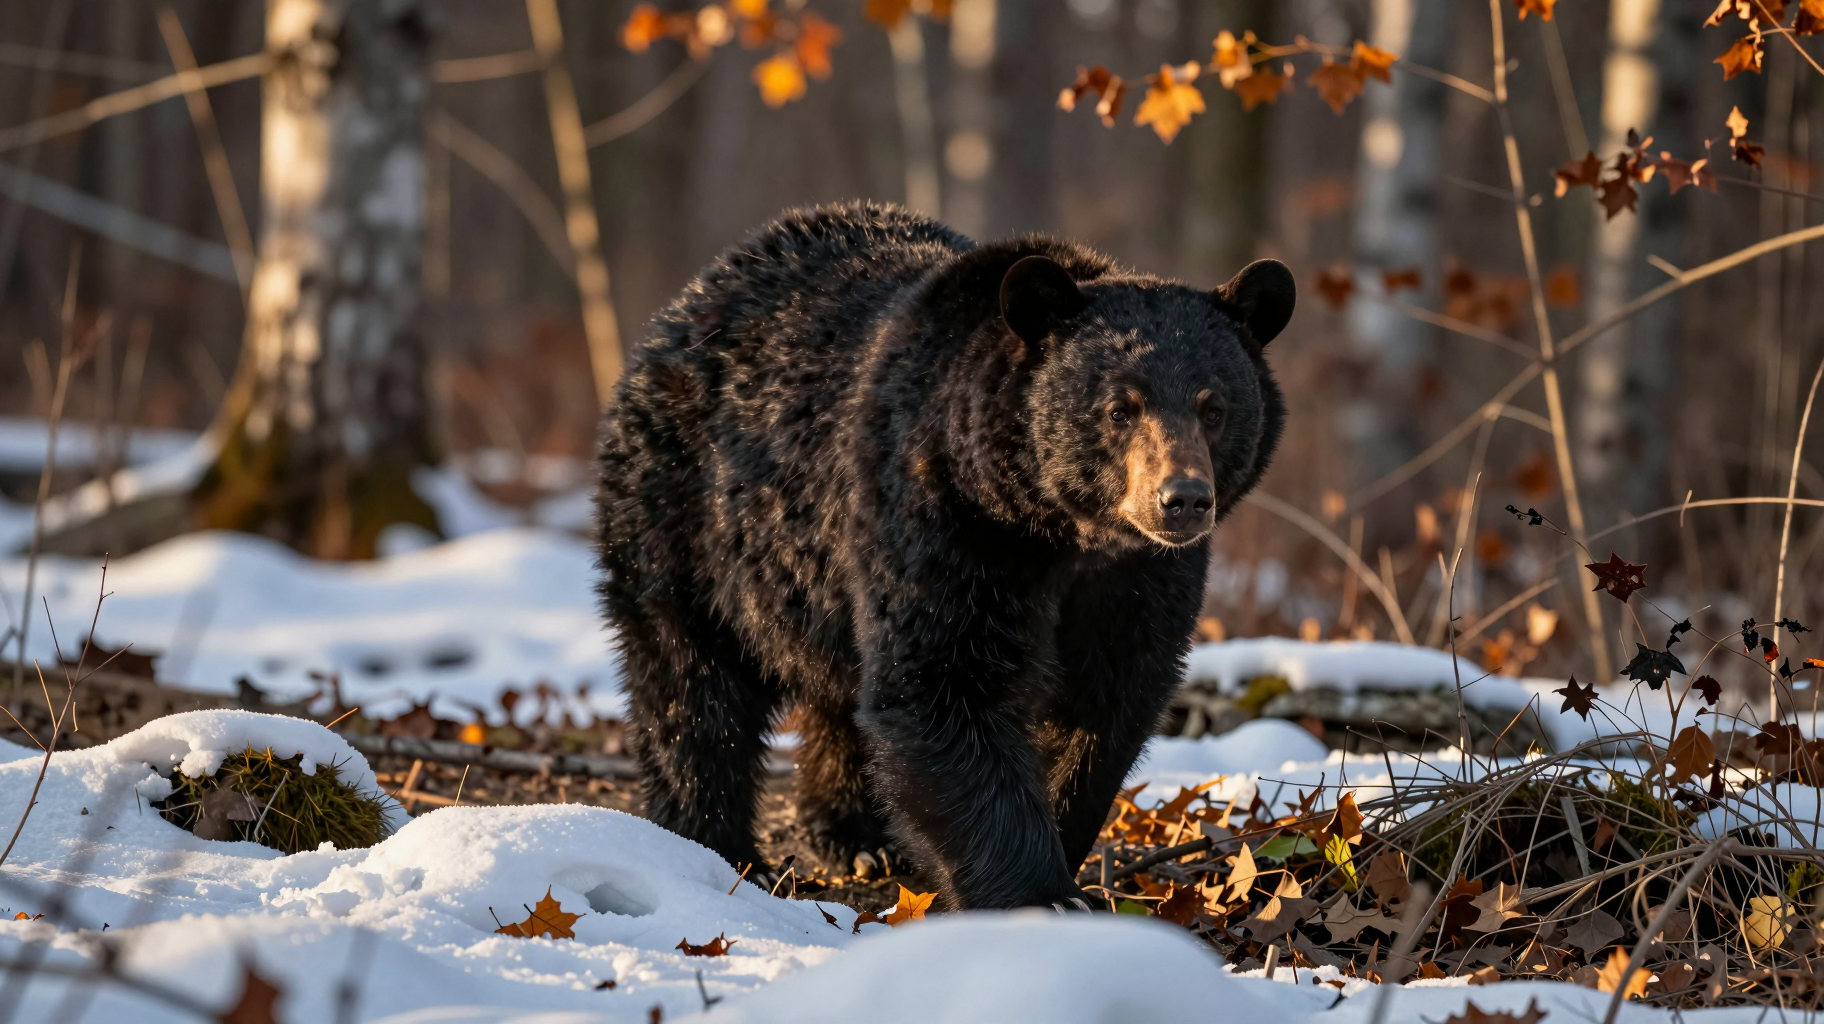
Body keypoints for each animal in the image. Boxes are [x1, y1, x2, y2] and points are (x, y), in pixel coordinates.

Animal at [595, 201, 1291, 910]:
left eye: (1214, 405)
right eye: (1121, 407)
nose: (1182, 500)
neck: (1058, 530)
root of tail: (691, 300)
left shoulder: (1140, 578)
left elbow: (1109, 699)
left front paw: (1062, 854)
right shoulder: (942, 523)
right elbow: (943, 681)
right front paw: (1040, 892)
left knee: (834, 694)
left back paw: (857, 835)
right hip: (689, 518)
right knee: (691, 686)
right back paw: (720, 850)